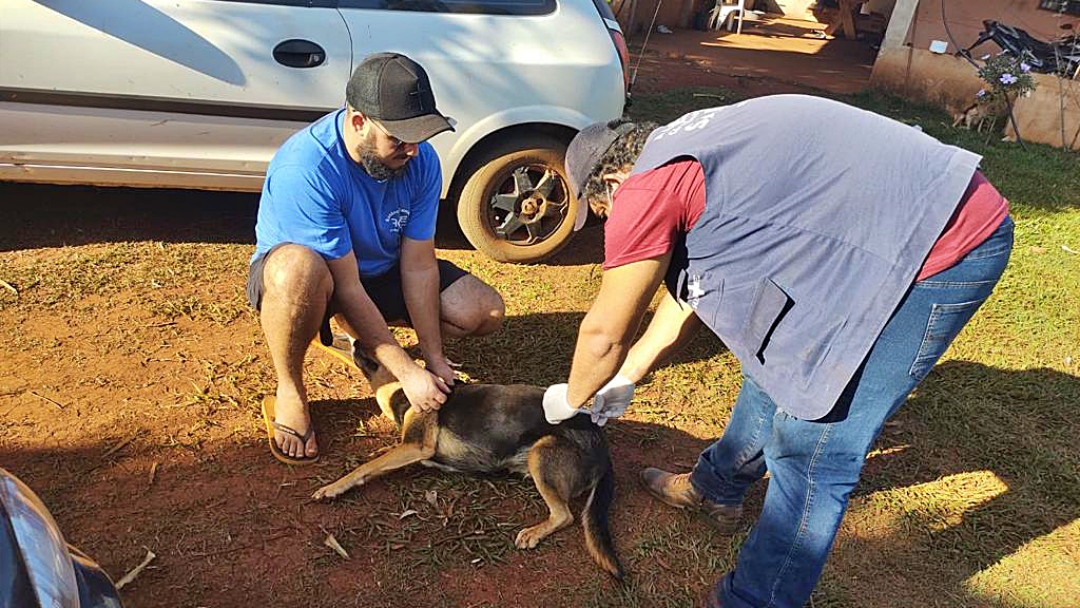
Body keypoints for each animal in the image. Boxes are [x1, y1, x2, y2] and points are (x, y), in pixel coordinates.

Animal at [308, 341, 626, 583]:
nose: (353, 339)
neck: (403, 388)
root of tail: (604, 450)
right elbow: (378, 461)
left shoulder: (416, 445)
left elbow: (365, 466)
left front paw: (333, 487)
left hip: (542, 452)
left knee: (564, 515)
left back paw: (533, 532)